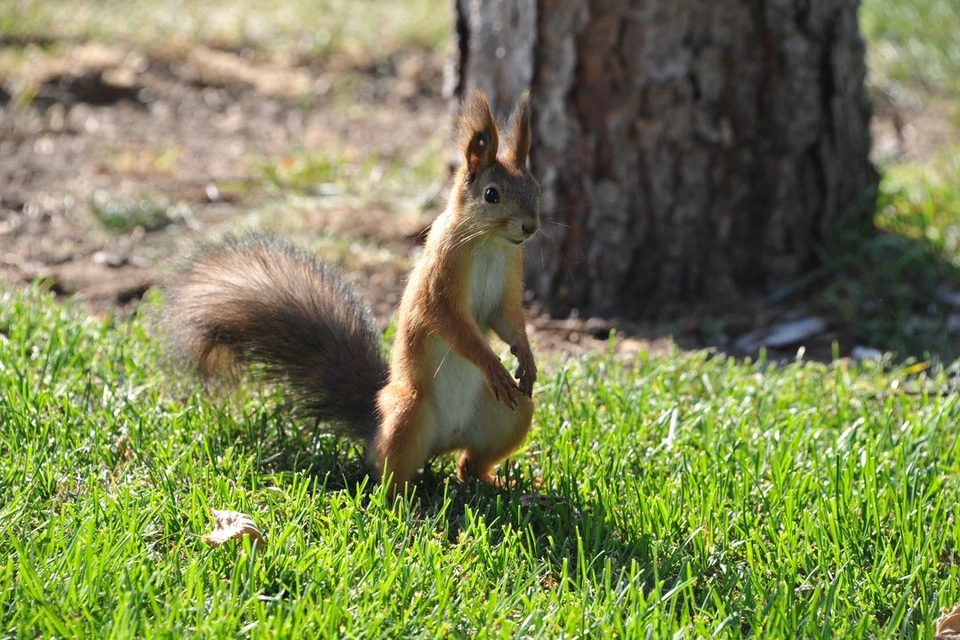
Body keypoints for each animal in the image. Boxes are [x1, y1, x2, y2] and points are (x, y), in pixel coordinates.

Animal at [165, 89, 540, 496]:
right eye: (491, 195)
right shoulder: (440, 278)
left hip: (511, 414)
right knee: (388, 473)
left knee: (470, 463)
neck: (489, 243)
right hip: (409, 412)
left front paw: (526, 358)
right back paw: (405, 502)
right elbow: (452, 324)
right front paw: (491, 363)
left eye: (536, 188)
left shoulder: (511, 274)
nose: (531, 228)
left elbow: (507, 319)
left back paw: (502, 484)